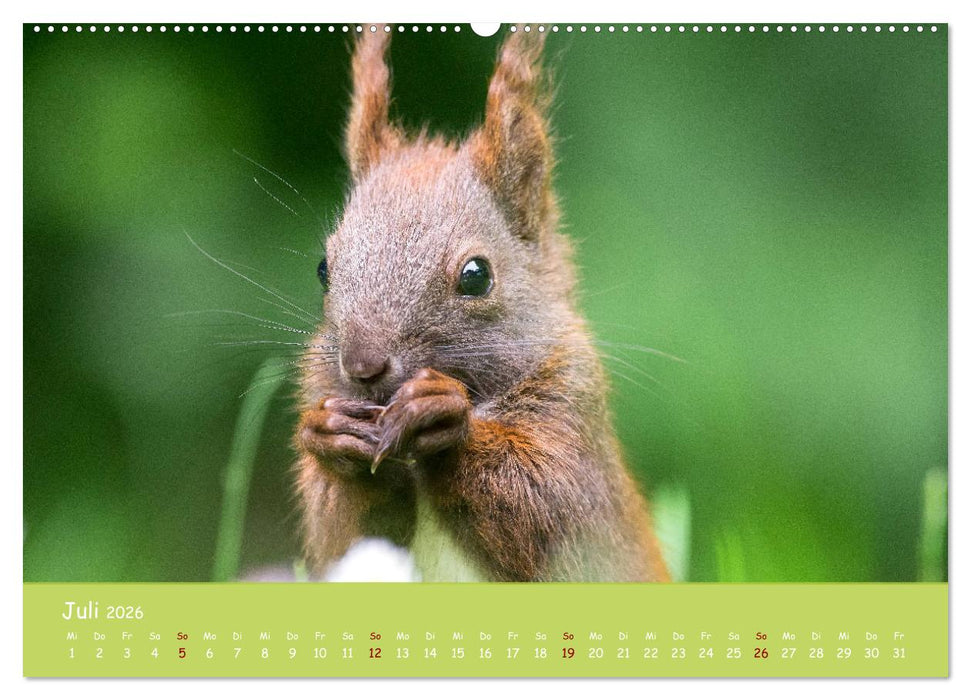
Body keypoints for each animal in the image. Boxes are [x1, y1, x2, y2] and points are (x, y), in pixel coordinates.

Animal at [294, 27, 670, 583]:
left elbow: (543, 503)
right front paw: (328, 434)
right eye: (324, 268)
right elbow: (344, 534)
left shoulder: (575, 412)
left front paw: (443, 417)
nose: (362, 366)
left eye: (477, 275)